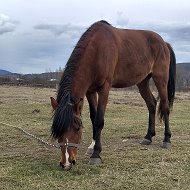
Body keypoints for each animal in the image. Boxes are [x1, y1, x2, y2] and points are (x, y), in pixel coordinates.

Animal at [50, 20, 175, 170]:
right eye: (57, 131)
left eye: (77, 128)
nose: (67, 163)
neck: (97, 50)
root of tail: (164, 43)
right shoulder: (90, 91)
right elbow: (93, 117)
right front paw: (92, 146)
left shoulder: (104, 88)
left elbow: (99, 120)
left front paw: (96, 154)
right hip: (143, 82)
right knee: (151, 104)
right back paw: (148, 137)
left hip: (160, 79)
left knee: (165, 107)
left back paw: (166, 139)